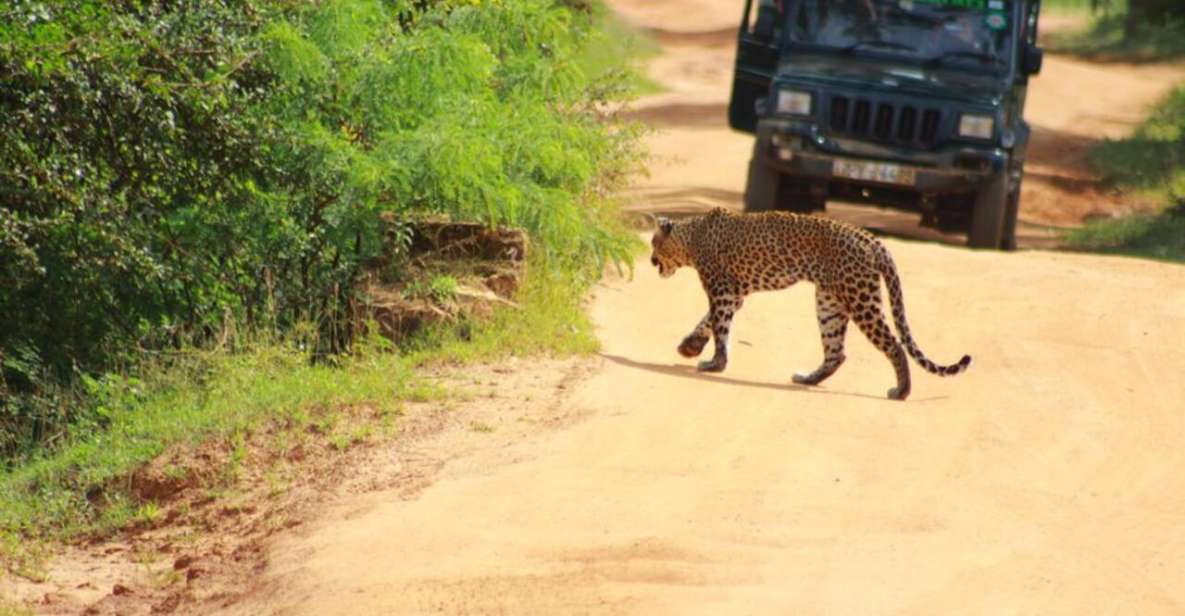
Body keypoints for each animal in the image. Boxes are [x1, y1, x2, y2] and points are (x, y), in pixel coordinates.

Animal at [649, 207, 971, 400]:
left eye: (653, 243)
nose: (651, 260)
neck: (692, 236)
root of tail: (870, 238)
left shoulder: (721, 290)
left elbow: (720, 326)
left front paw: (715, 363)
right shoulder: (734, 293)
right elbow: (710, 321)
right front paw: (690, 346)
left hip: (860, 297)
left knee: (894, 344)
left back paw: (901, 391)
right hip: (829, 303)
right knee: (836, 353)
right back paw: (808, 379)